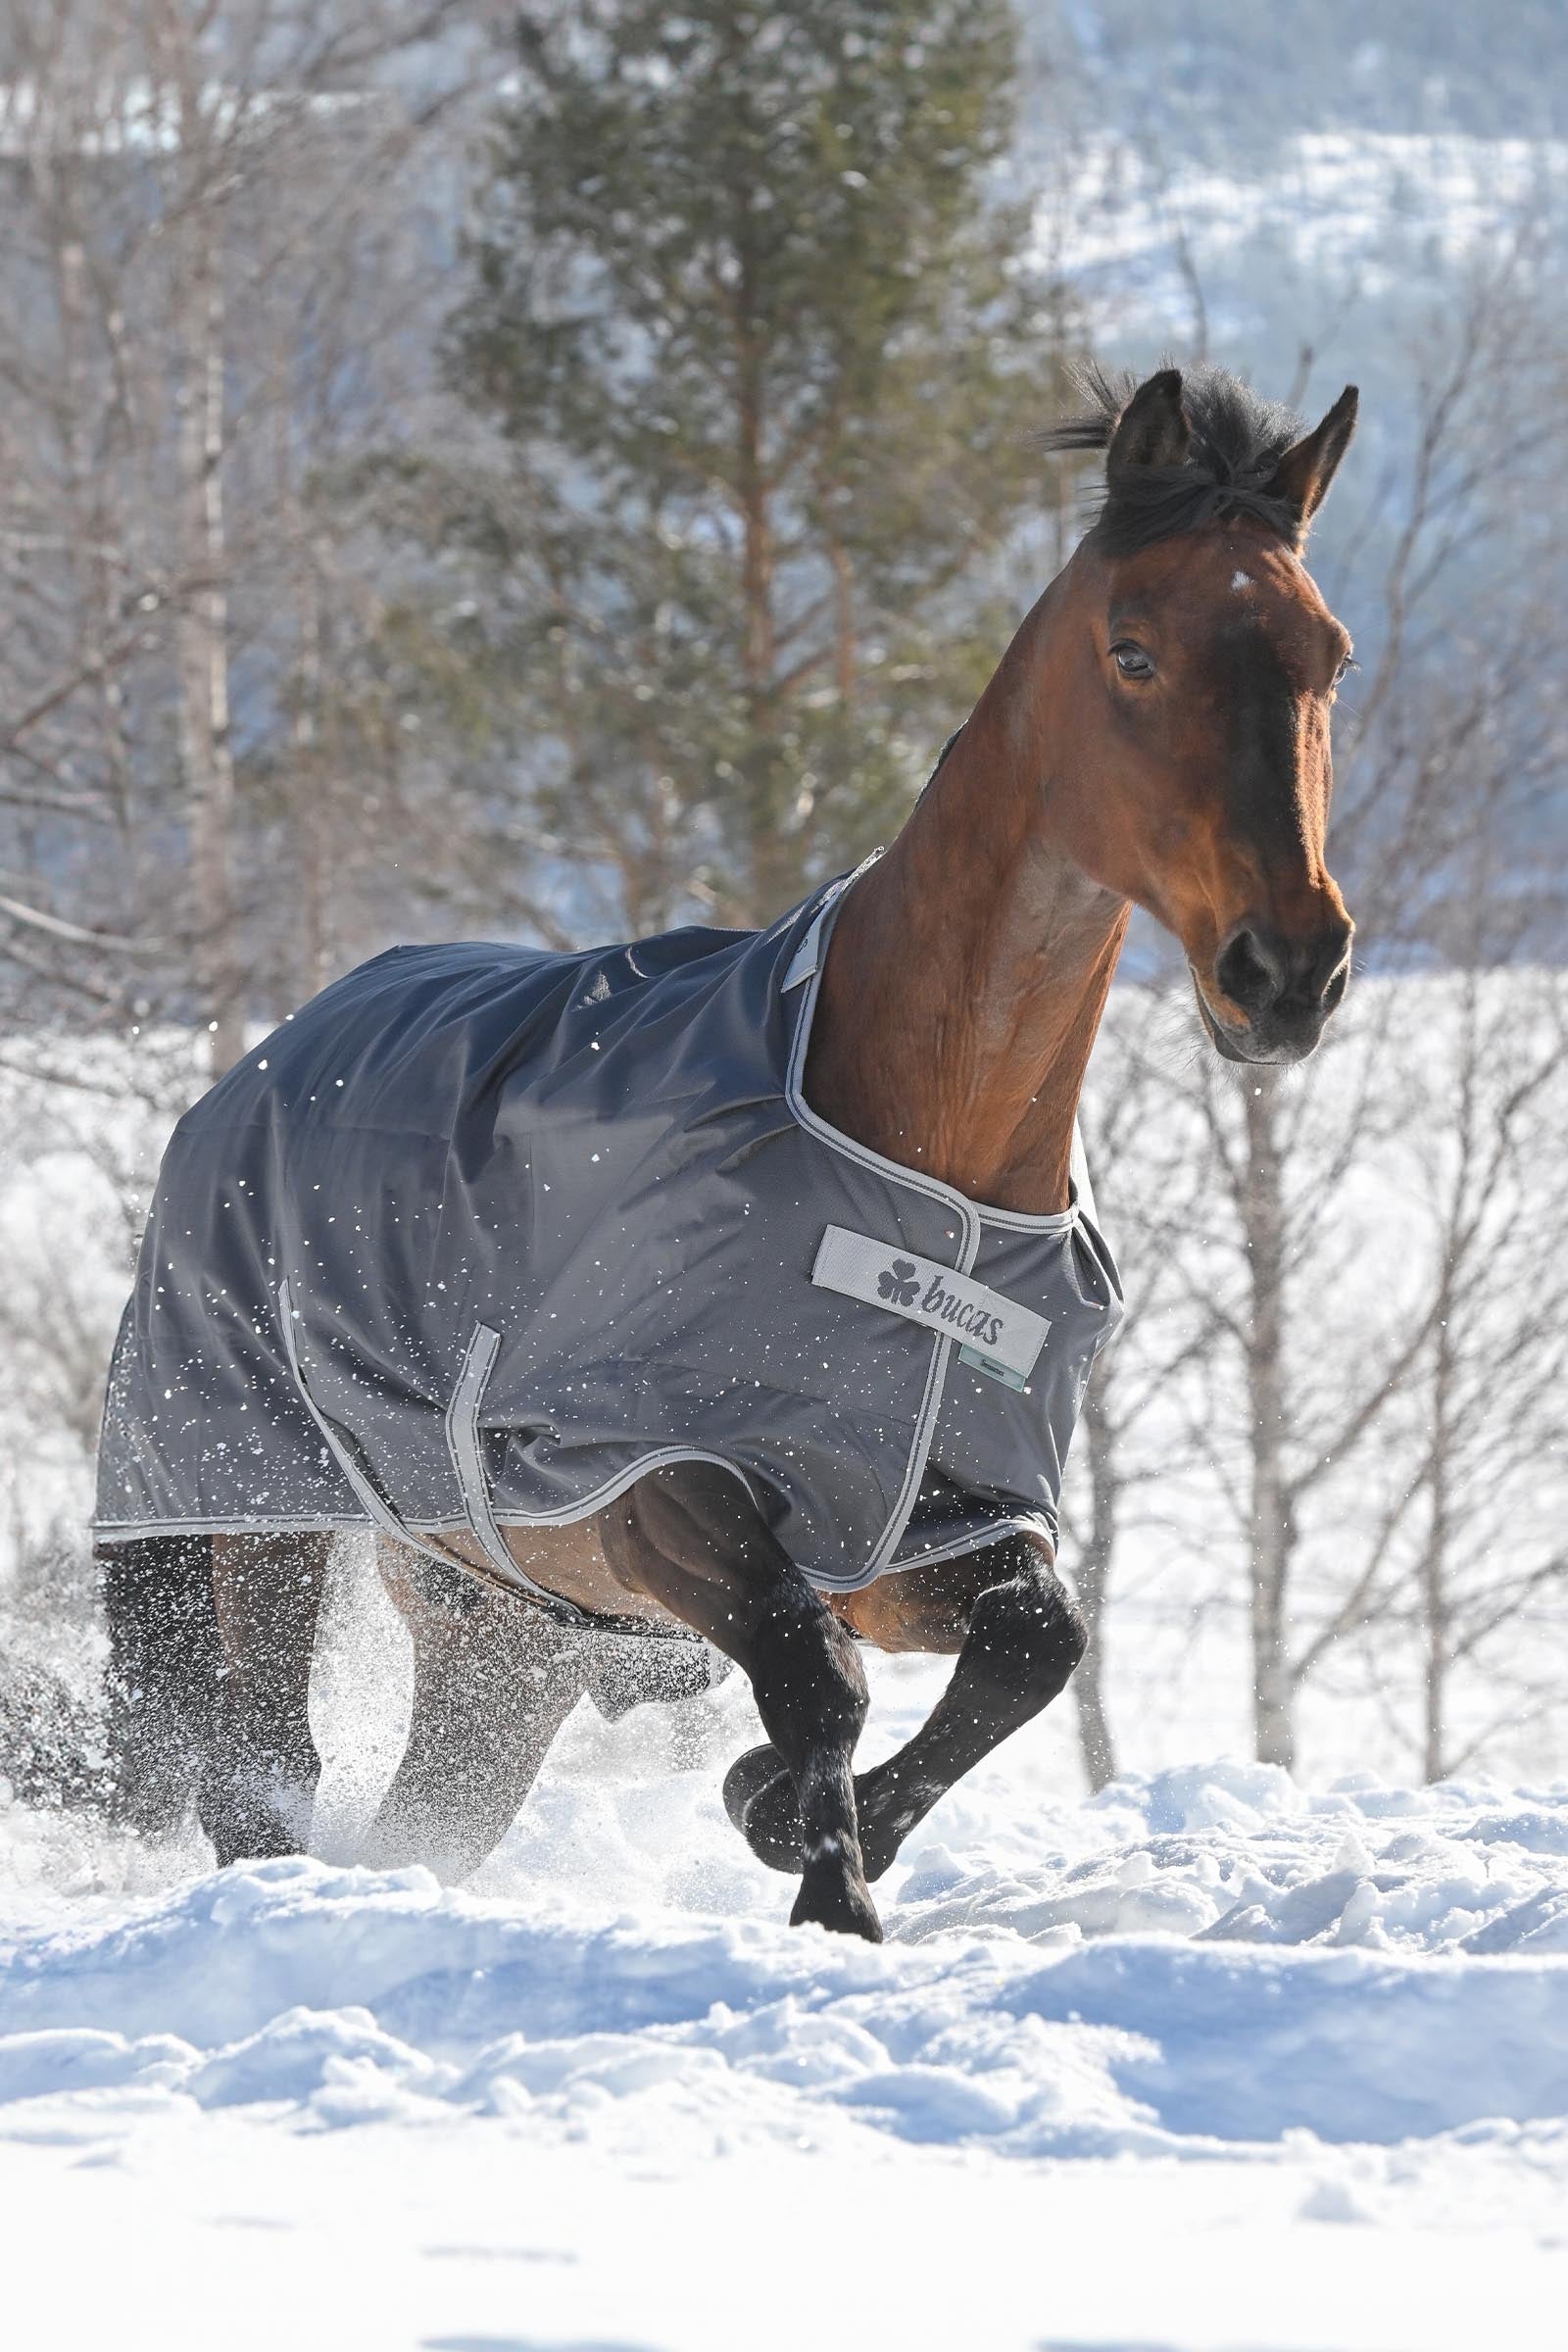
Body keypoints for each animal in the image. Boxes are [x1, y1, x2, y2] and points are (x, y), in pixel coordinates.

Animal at [96, 364, 1359, 1941]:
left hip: (497, 1641)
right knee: (258, 1774)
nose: (1288, 971)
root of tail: (262, 1061)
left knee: (416, 1810)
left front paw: (783, 1818)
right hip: (242, 1507)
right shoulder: (652, 1487)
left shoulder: (926, 1522)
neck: (924, 1177)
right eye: (1134, 653)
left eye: (1327, 657)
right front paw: (825, 1891)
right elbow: (821, 1673)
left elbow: (1034, 1642)